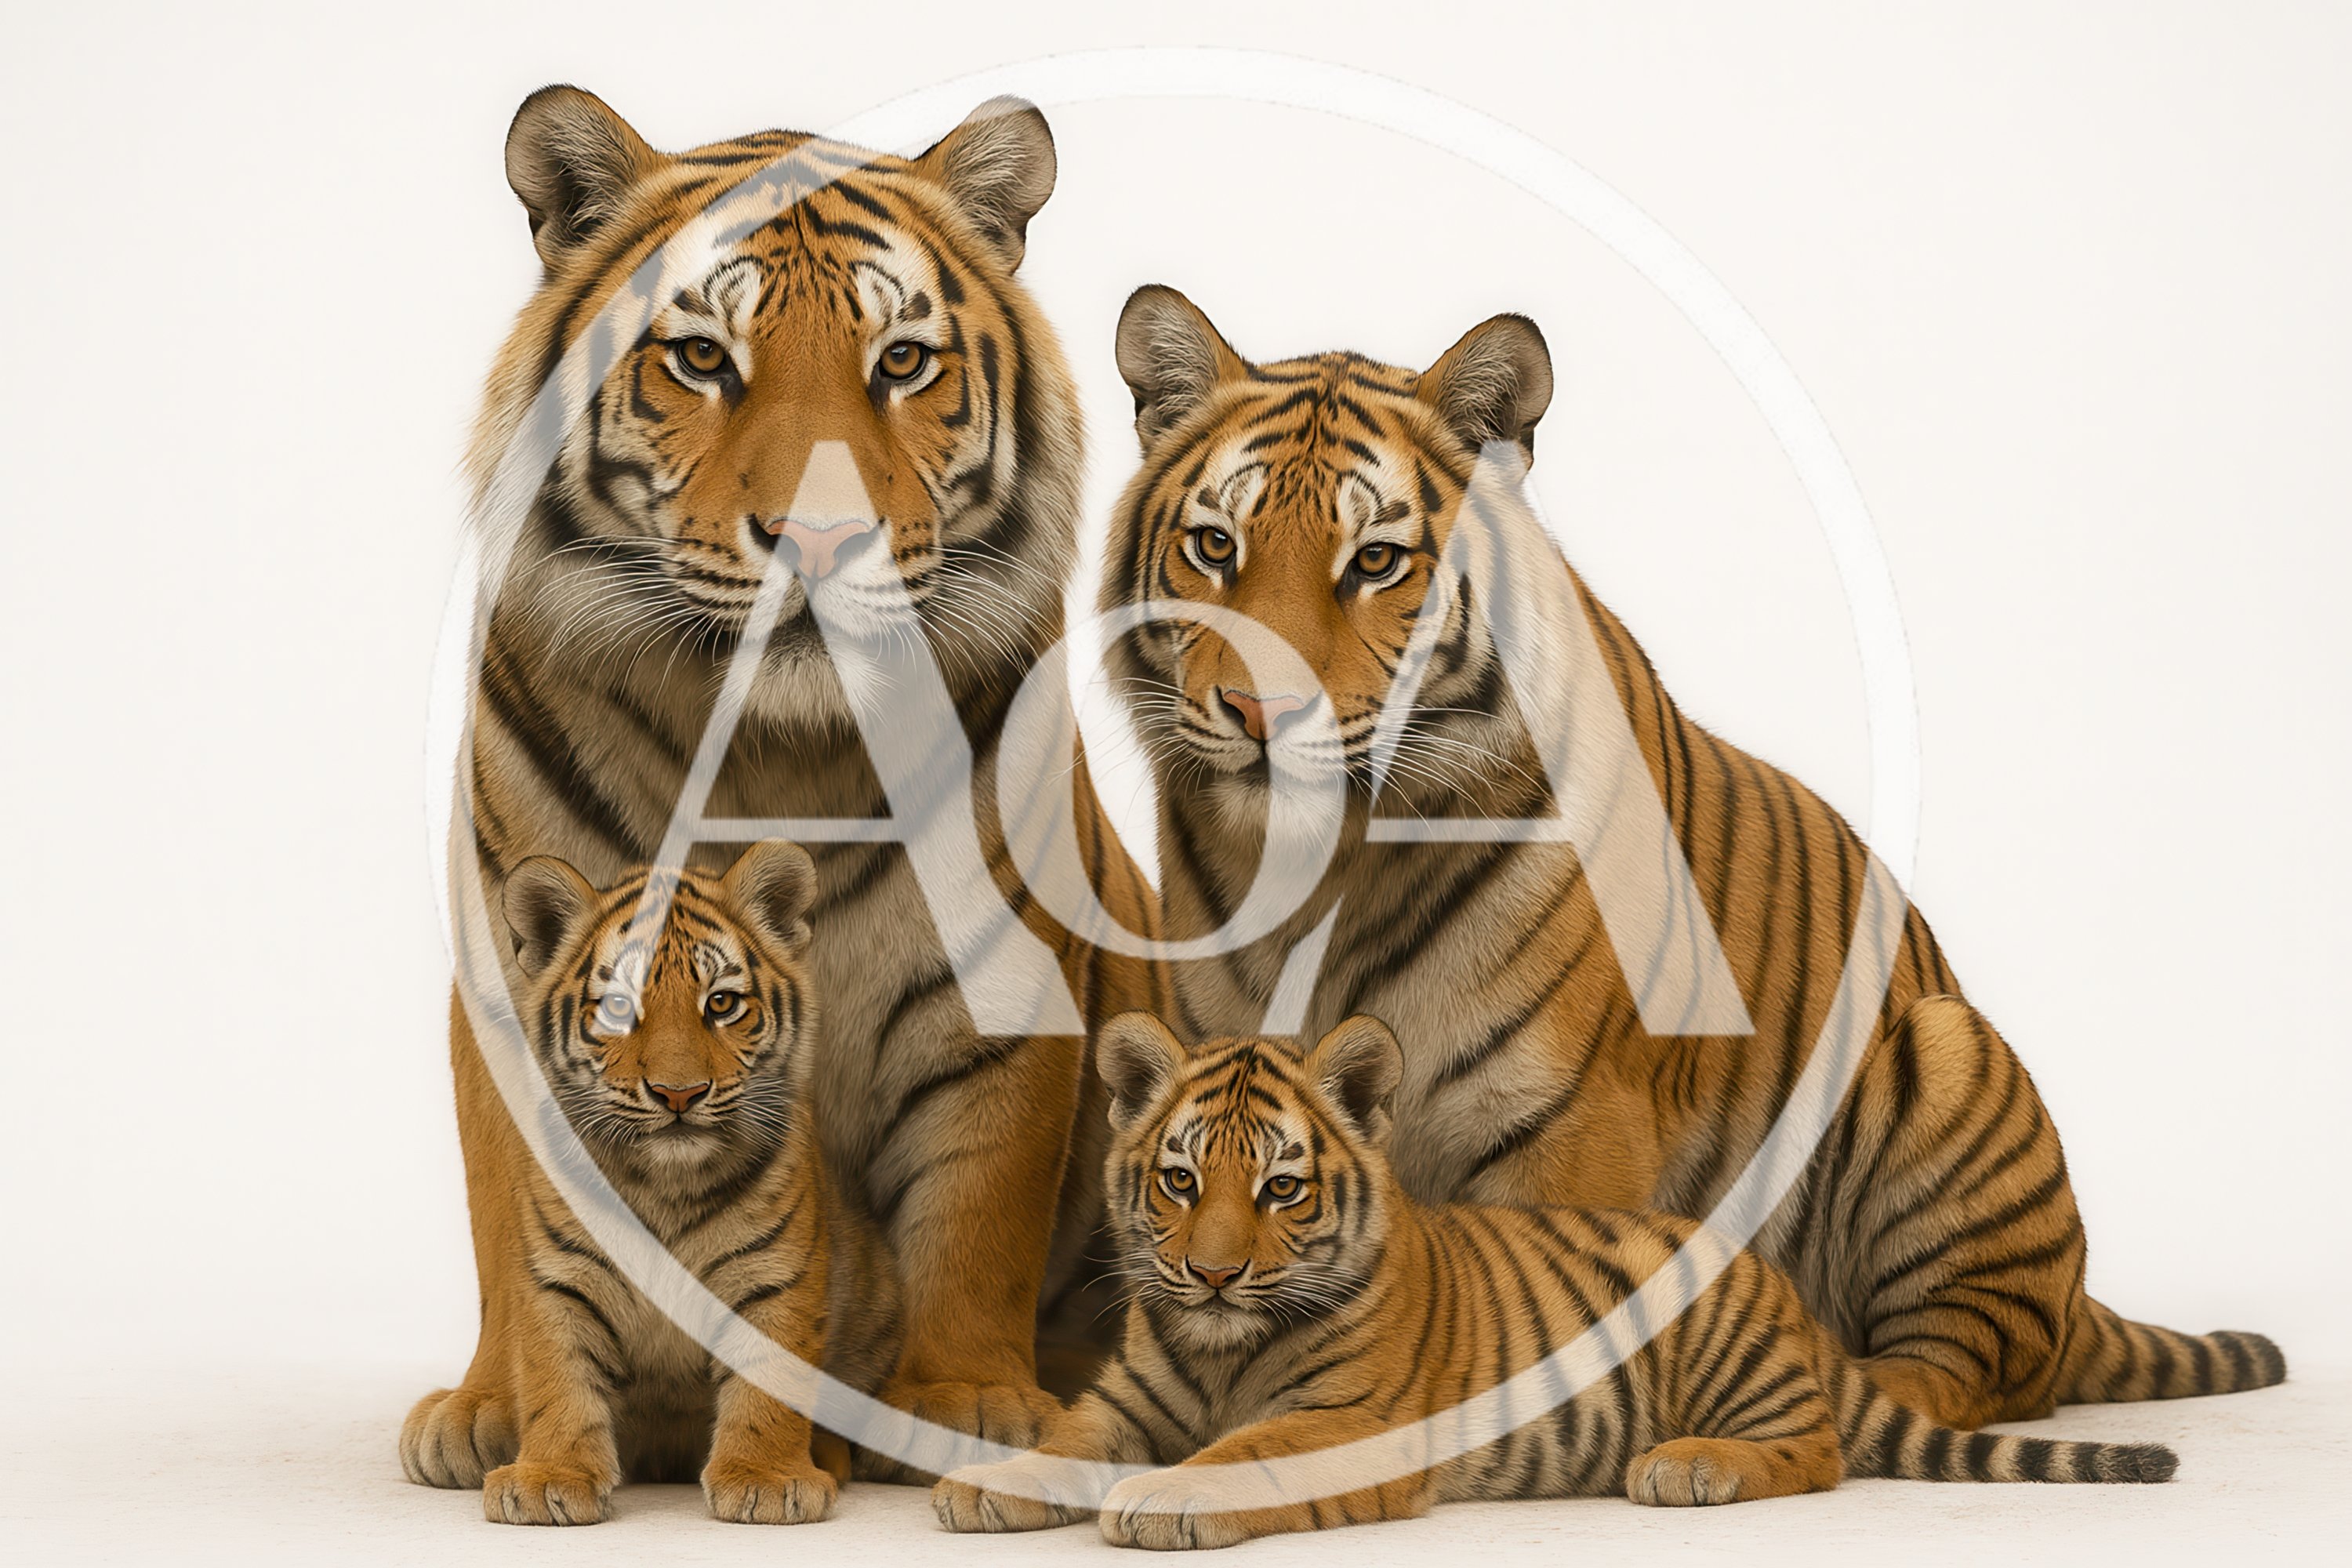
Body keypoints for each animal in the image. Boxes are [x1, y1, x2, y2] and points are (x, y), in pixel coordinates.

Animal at [402, 840, 898, 1524]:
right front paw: (549, 1478)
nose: (679, 1093)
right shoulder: (561, 1275)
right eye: (617, 1007)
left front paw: (767, 1479)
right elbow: (558, 1376)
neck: (666, 1185)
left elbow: (770, 1381)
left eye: (721, 1004)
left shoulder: (775, 1274)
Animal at [934, 1015, 2186, 1549]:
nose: (1210, 1274)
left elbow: (1241, 1455)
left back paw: (1686, 1466)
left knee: (1815, 1452)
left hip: (1734, 1363)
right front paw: (980, 1483)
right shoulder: (1118, 1407)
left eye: (1284, 1189)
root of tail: (1786, 1292)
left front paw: (1163, 1498)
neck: (1217, 1346)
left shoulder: (1349, 1422)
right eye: (1181, 1179)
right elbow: (1058, 1446)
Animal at [1094, 284, 2283, 1431]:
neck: (1323, 870)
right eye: (1216, 547)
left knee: (1968, 1372)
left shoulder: (1573, 1118)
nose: (1260, 712)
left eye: (1376, 561)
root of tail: (2081, 1299)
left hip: (1945, 1055)